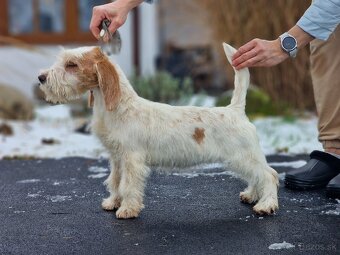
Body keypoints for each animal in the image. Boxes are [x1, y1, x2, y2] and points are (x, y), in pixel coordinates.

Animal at [39, 42, 278, 218]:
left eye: (72, 64)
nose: (41, 78)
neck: (120, 108)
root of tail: (235, 109)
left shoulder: (132, 159)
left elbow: (128, 185)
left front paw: (127, 209)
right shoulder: (117, 158)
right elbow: (115, 181)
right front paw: (113, 202)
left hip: (243, 156)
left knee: (269, 175)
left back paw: (266, 205)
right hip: (241, 158)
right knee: (258, 177)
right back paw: (251, 195)